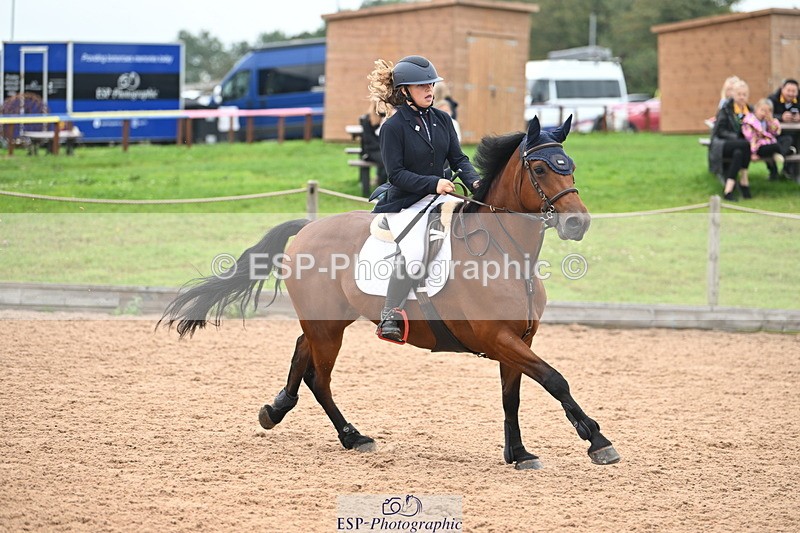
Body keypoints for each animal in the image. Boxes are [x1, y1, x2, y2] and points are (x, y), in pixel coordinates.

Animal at [159, 115, 620, 469]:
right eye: (540, 170)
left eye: (570, 165)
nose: (578, 223)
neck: (507, 253)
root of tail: (308, 228)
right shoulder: (498, 337)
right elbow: (554, 379)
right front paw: (597, 441)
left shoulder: (519, 338)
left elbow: (514, 396)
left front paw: (520, 453)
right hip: (328, 327)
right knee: (319, 378)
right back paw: (352, 436)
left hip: (328, 321)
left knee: (301, 353)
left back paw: (276, 409)